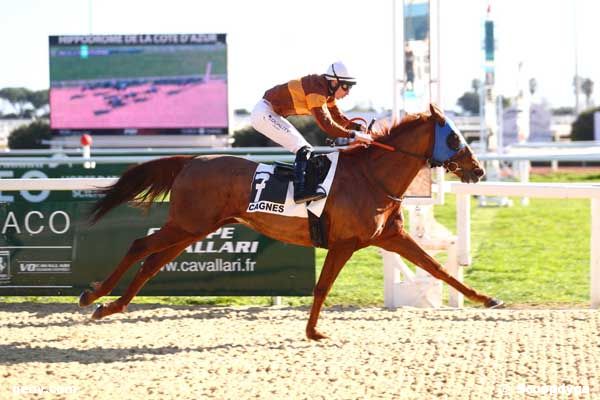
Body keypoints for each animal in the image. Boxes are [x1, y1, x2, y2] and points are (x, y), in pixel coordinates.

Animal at [79, 104, 502, 340]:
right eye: (456, 138)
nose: (479, 170)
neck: (372, 176)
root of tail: (191, 161)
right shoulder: (345, 243)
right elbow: (322, 287)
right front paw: (313, 331)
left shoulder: (391, 237)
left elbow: (438, 269)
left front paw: (486, 299)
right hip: (185, 225)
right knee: (139, 247)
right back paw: (93, 296)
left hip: (192, 229)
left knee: (152, 264)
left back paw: (110, 307)